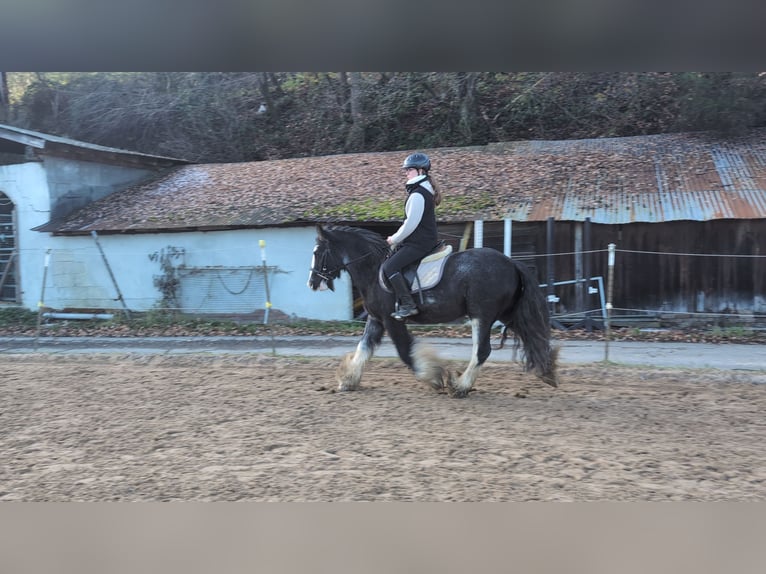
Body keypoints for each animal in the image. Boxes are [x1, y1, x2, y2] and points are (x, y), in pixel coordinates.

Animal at [307, 224, 559, 398]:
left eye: (318, 252)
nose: (311, 283)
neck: (373, 269)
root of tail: (511, 262)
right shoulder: (376, 319)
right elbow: (364, 348)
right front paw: (348, 380)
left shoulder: (392, 320)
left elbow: (405, 351)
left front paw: (433, 377)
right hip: (507, 314)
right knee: (531, 336)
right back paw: (547, 371)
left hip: (482, 315)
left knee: (482, 350)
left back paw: (460, 386)